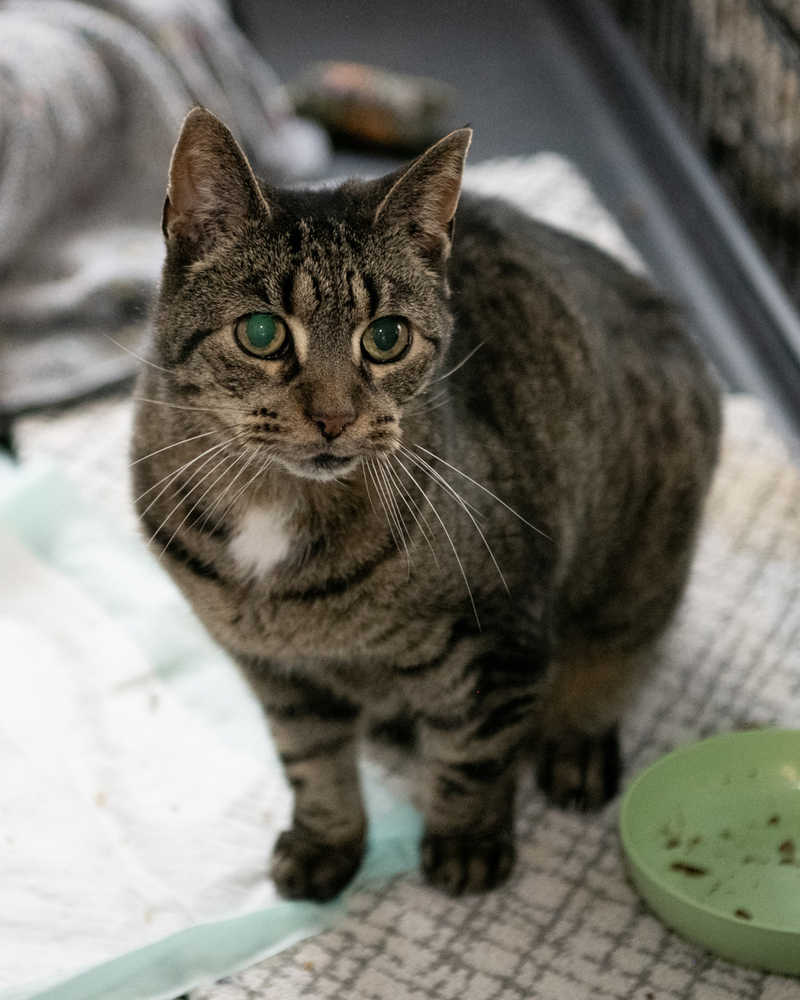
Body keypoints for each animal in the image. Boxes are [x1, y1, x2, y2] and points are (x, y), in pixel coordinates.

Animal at [133, 107, 724, 900]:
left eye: (385, 338)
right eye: (261, 333)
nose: (334, 418)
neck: (279, 510)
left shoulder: (497, 643)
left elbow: (471, 757)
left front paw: (466, 843)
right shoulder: (278, 674)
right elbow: (311, 761)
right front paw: (327, 841)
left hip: (644, 555)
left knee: (616, 652)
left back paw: (576, 742)